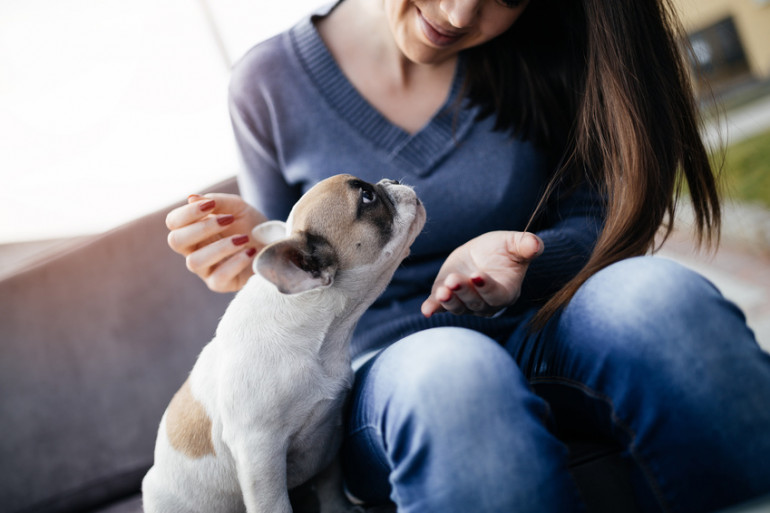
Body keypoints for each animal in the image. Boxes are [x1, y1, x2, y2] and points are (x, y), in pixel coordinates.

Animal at [142, 175, 426, 512]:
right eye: (368, 197)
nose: (391, 180)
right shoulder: (260, 455)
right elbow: (275, 505)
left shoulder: (327, 437)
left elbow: (331, 486)